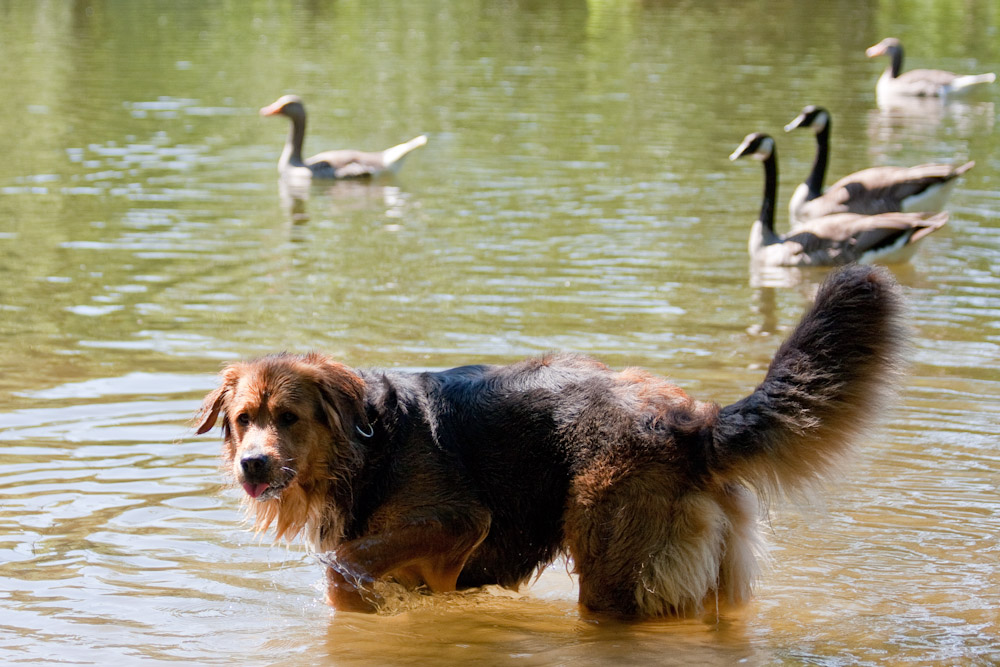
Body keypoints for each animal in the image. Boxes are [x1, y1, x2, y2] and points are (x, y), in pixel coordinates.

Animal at [195, 264, 908, 620]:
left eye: (289, 417)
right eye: (243, 419)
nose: (253, 465)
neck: (371, 444)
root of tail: (691, 424)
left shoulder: (457, 520)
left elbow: (345, 566)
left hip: (612, 561)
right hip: (717, 575)